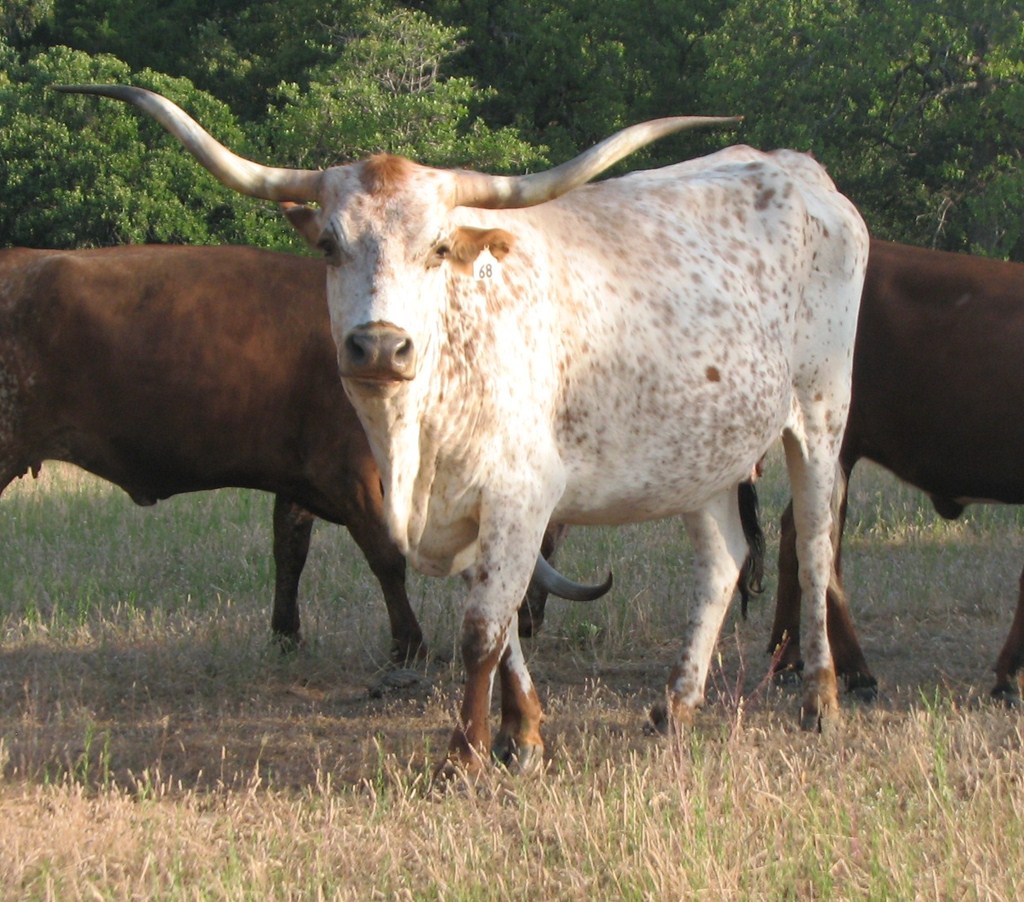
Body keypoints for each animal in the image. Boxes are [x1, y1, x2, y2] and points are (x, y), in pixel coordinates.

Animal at [0, 245, 605, 663]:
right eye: (543, 534)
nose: (529, 625)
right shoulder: (353, 476)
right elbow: (385, 559)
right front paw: (410, 645)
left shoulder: (298, 480)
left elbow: (289, 550)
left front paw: (286, 634)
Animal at [61, 85, 869, 777]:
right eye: (328, 245)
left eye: (440, 248)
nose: (379, 346)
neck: (417, 441)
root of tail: (797, 169)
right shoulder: (466, 512)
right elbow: (504, 626)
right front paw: (523, 737)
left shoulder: (521, 496)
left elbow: (482, 629)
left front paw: (465, 756)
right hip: (701, 451)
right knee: (724, 558)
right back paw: (676, 704)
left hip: (820, 411)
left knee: (814, 543)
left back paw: (821, 699)